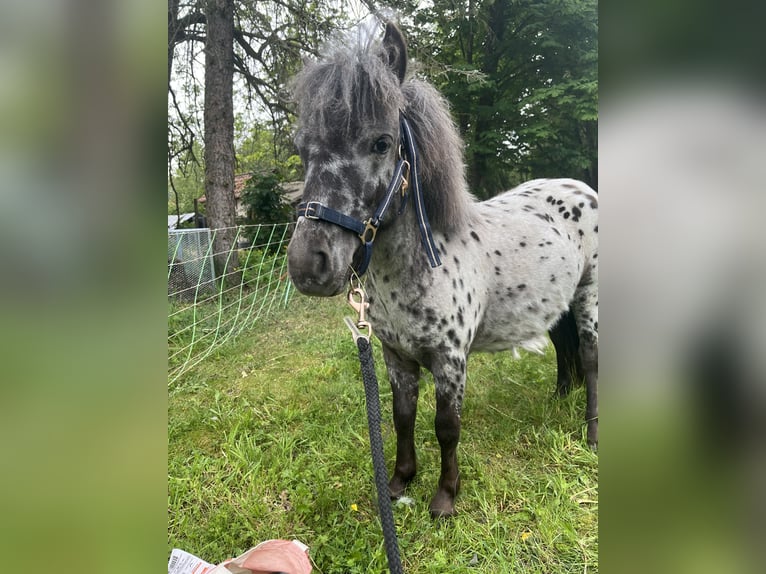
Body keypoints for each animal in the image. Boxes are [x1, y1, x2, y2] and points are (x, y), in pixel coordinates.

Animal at [286, 22, 598, 518]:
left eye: (381, 143)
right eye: (302, 148)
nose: (308, 264)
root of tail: (580, 188)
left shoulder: (450, 361)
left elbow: (446, 425)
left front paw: (445, 497)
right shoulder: (396, 356)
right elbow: (402, 417)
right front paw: (399, 482)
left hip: (590, 294)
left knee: (589, 358)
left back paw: (592, 433)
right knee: (564, 348)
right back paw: (558, 399)